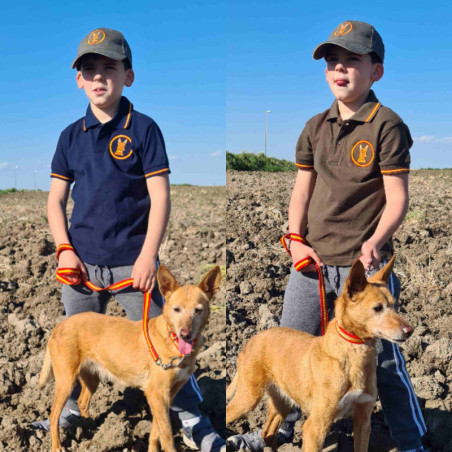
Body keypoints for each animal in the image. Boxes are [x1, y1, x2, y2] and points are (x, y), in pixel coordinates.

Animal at [38, 264, 221, 452]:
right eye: (176, 309)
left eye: (198, 310)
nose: (185, 334)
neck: (172, 341)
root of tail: (59, 324)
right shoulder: (156, 393)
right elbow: (167, 436)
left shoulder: (167, 394)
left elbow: (156, 431)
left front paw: (152, 449)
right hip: (66, 379)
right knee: (54, 415)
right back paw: (57, 445)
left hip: (91, 377)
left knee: (82, 401)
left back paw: (92, 427)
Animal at [226, 258, 414, 452]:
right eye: (377, 308)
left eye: (394, 305)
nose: (410, 331)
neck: (353, 355)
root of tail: (254, 338)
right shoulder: (315, 426)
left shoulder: (363, 420)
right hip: (248, 398)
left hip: (282, 401)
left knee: (268, 432)